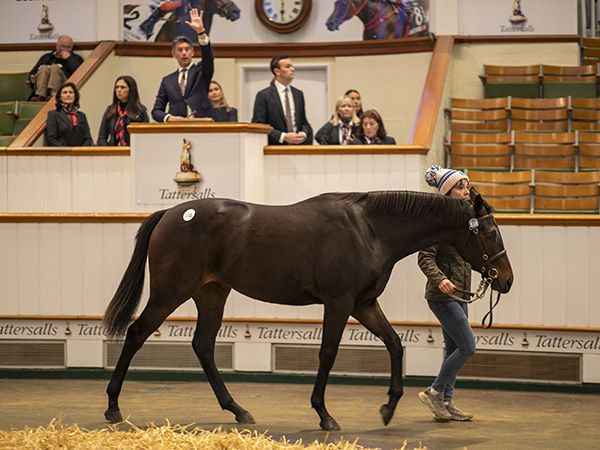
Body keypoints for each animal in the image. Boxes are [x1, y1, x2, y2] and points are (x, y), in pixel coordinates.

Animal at [102, 188, 510, 430]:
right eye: (490, 233)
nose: (505, 280)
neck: (369, 231)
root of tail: (172, 212)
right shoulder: (339, 302)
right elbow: (327, 353)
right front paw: (324, 414)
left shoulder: (363, 304)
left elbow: (395, 344)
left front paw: (389, 407)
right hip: (171, 291)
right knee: (137, 334)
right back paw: (113, 407)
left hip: (211, 293)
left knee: (203, 346)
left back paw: (238, 410)